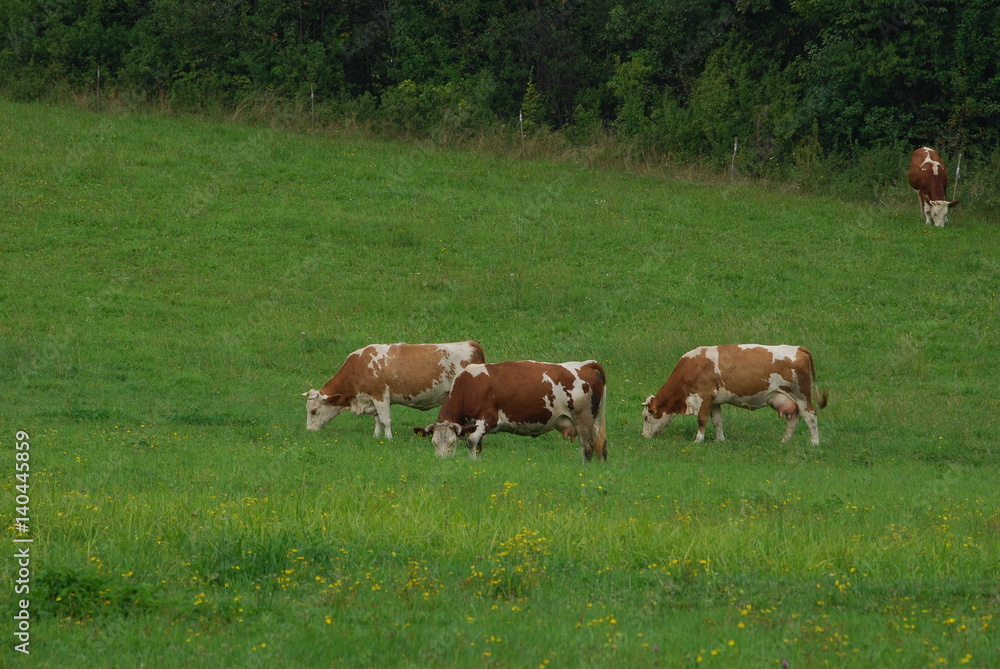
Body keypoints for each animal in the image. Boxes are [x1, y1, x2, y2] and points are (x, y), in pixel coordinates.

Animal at [300, 340, 484, 438]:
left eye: (314, 411)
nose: (309, 431)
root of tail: (471, 343)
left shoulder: (380, 395)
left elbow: (385, 419)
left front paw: (388, 439)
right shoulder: (372, 399)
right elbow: (377, 419)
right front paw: (376, 436)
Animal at [414, 360, 608, 460]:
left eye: (452, 443)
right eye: (434, 443)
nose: (443, 462)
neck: (470, 386)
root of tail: (585, 364)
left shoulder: (488, 419)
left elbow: (471, 442)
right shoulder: (473, 424)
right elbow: (478, 446)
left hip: (583, 418)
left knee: (587, 447)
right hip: (591, 420)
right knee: (601, 444)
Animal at [640, 344, 828, 444]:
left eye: (646, 417)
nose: (644, 436)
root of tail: (798, 348)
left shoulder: (705, 396)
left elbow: (702, 419)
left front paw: (698, 440)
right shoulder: (714, 401)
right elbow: (717, 421)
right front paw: (720, 440)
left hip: (801, 395)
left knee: (810, 416)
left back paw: (814, 443)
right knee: (793, 420)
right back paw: (785, 442)